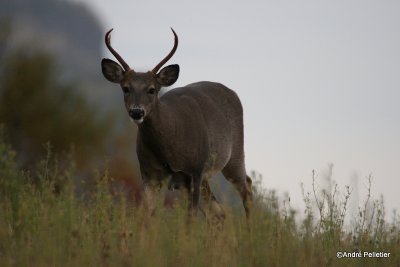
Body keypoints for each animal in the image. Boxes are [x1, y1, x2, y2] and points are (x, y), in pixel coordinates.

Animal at [101, 28, 253, 221]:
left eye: (152, 89)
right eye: (126, 88)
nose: (136, 112)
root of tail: (233, 92)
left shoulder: (194, 171)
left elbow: (190, 219)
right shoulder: (149, 174)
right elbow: (147, 216)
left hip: (233, 156)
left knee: (246, 186)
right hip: (204, 177)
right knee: (218, 211)